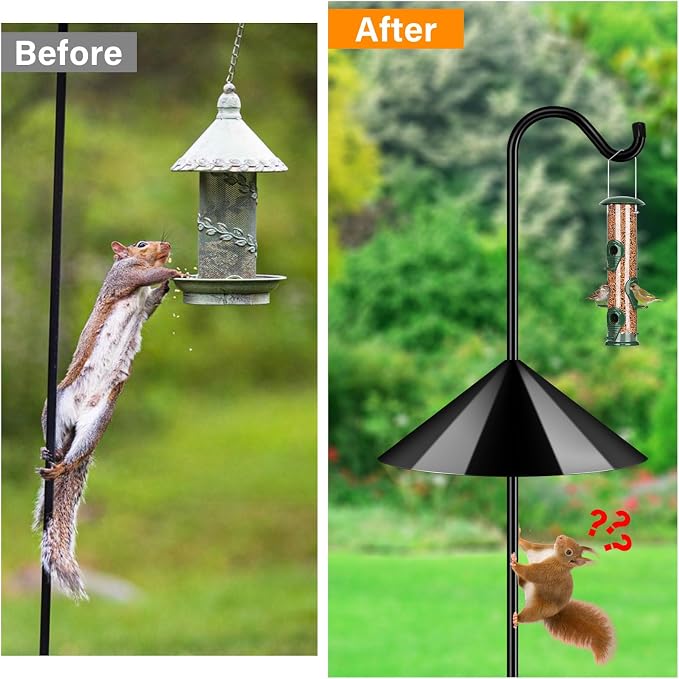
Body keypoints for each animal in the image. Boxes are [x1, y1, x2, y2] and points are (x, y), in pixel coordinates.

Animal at [33, 240, 183, 600]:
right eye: (141, 244)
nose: (167, 245)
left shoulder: (144, 306)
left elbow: (150, 304)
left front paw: (166, 285)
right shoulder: (124, 277)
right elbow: (143, 277)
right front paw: (170, 272)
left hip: (98, 420)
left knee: (75, 455)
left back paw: (61, 464)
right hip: (55, 405)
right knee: (57, 440)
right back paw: (51, 456)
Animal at [510, 531, 615, 664]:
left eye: (569, 552)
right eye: (573, 541)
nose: (561, 537)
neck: (555, 556)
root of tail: (554, 613)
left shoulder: (550, 571)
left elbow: (534, 573)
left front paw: (515, 564)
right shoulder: (540, 549)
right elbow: (530, 546)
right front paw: (518, 535)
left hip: (539, 609)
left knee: (527, 615)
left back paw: (517, 618)